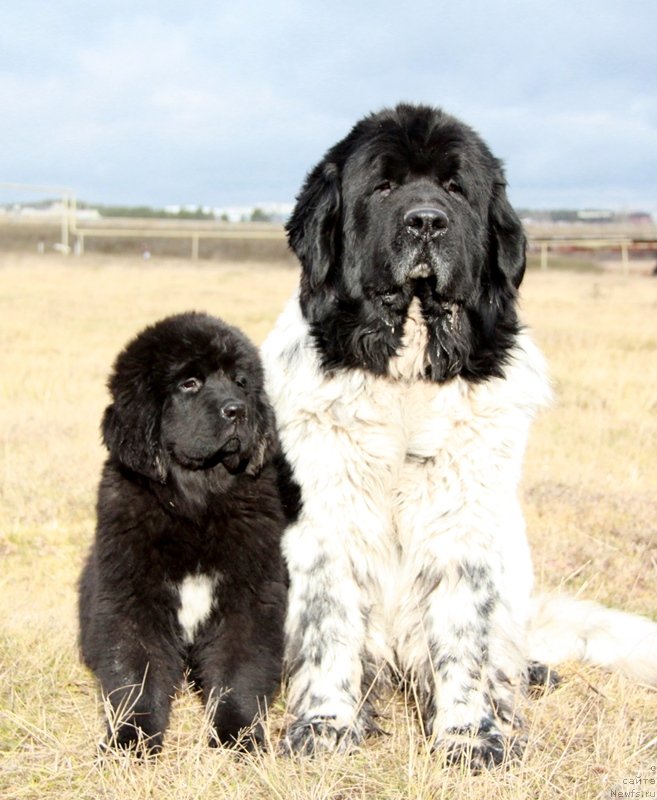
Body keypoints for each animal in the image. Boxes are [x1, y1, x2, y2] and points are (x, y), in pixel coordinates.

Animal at [77, 312, 298, 756]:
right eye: (189, 383)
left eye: (241, 382)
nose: (237, 410)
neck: (196, 502)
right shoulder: (132, 596)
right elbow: (135, 674)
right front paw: (130, 742)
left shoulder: (248, 596)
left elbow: (239, 672)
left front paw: (239, 738)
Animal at [260, 103, 656, 764]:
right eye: (383, 186)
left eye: (454, 188)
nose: (426, 222)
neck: (410, 366)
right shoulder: (329, 519)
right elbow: (330, 624)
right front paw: (325, 725)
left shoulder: (463, 522)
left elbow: (463, 633)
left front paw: (470, 733)